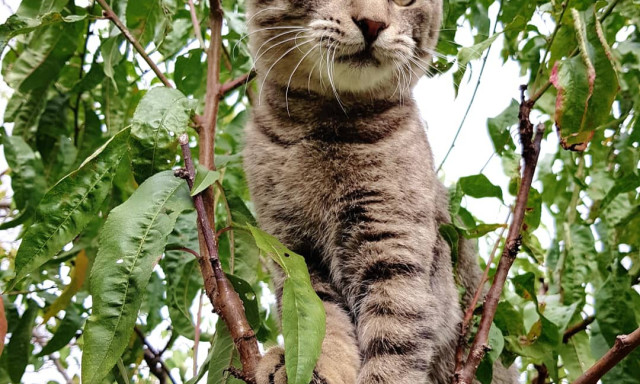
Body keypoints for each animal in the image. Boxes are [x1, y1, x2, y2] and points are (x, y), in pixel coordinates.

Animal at [242, 0, 516, 384]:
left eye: (404, 2)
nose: (372, 24)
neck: (328, 127)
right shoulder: (295, 256)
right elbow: (319, 324)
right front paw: (315, 368)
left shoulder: (394, 247)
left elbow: (394, 342)